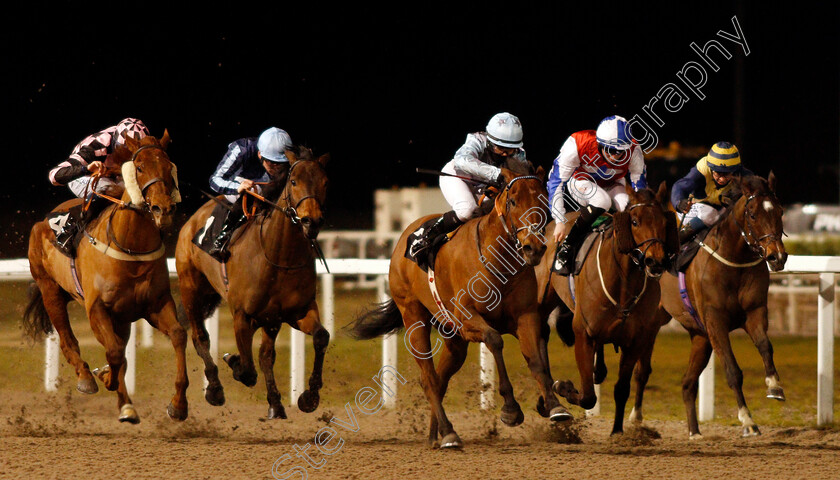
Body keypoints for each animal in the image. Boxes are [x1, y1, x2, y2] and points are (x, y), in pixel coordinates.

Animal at [24, 131, 184, 424]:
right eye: (139, 167)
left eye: (169, 167)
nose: (163, 209)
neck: (130, 246)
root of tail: (42, 222)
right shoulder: (97, 308)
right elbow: (115, 353)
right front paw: (102, 375)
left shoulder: (154, 304)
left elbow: (176, 336)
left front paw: (178, 405)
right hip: (50, 291)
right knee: (69, 341)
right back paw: (87, 377)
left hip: (121, 317)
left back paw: (126, 405)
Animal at [176, 146, 330, 420]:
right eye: (294, 181)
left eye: (324, 182)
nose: (311, 221)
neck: (278, 256)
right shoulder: (242, 316)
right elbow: (247, 370)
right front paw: (232, 360)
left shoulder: (294, 312)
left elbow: (321, 337)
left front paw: (308, 397)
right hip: (190, 289)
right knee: (200, 337)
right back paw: (213, 390)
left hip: (268, 319)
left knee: (266, 355)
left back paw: (275, 404)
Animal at [348, 168, 572, 450]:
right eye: (513, 202)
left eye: (543, 202)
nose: (534, 247)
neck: (499, 260)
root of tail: (402, 240)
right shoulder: (469, 321)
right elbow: (495, 340)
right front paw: (510, 409)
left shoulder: (526, 317)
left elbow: (536, 361)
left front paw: (555, 407)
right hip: (414, 318)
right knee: (429, 379)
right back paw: (448, 433)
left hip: (453, 338)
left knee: (441, 378)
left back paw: (436, 435)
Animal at [536, 182, 680, 436]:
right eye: (635, 221)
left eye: (664, 222)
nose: (656, 262)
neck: (624, 282)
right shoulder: (583, 333)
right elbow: (587, 396)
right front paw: (563, 387)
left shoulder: (637, 339)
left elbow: (621, 389)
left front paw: (617, 432)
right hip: (544, 298)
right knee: (539, 335)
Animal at [644, 173, 788, 438]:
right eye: (753, 215)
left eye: (780, 211)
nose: (777, 257)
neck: (734, 260)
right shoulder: (715, 321)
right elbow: (732, 371)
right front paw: (747, 421)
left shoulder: (754, 312)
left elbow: (765, 345)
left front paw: (775, 387)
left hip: (700, 336)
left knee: (687, 383)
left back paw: (694, 432)